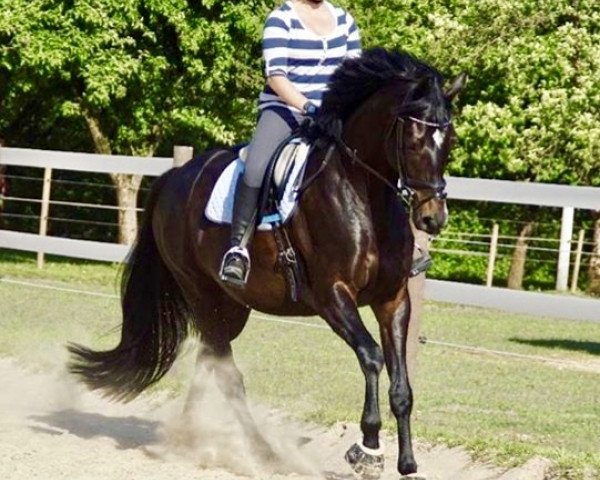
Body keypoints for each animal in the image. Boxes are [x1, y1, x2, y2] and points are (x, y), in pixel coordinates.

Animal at [68, 49, 466, 480]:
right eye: (413, 139)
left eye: (450, 140)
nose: (433, 218)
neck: (363, 195)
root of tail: (175, 176)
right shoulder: (332, 296)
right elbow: (372, 357)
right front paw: (367, 449)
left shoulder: (392, 299)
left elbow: (401, 384)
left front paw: (407, 462)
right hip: (201, 294)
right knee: (227, 373)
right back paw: (263, 452)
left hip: (231, 307)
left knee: (210, 359)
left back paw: (188, 438)